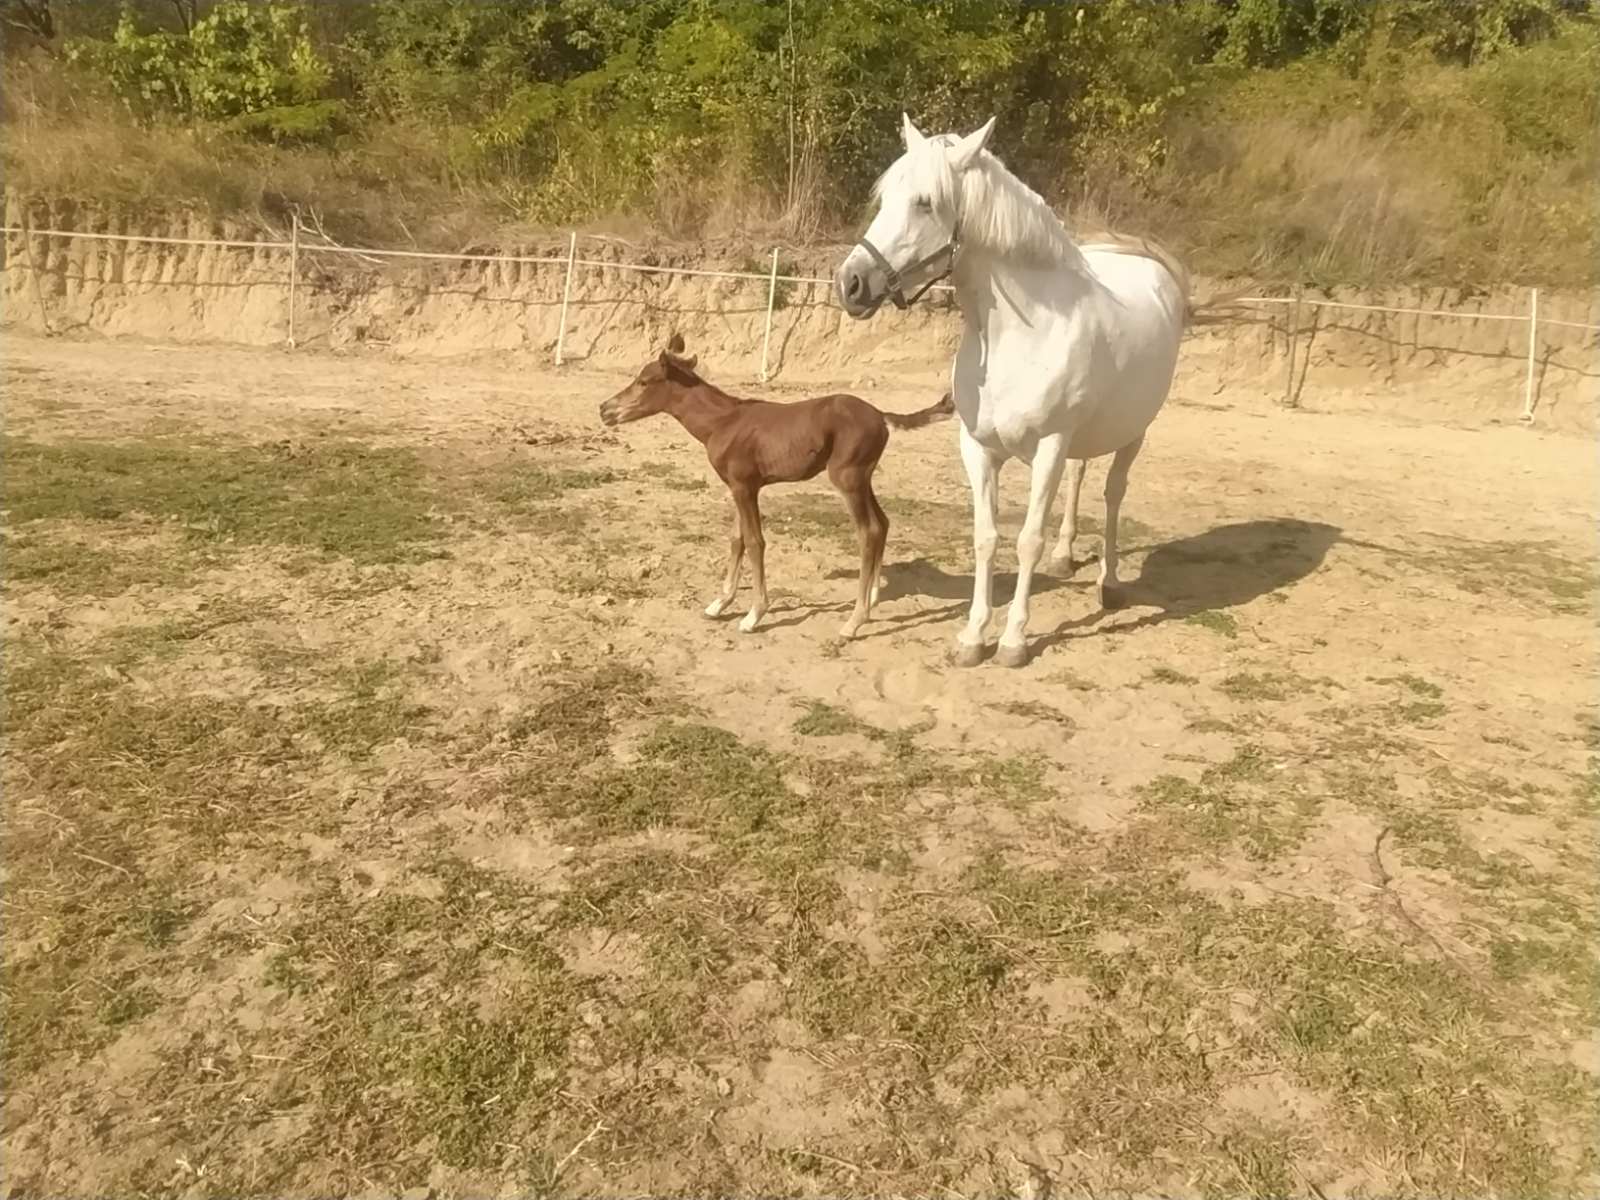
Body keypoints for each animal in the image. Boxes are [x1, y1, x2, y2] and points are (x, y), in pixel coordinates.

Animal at [601, 334, 947, 640]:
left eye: (643, 381)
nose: (604, 409)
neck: (722, 422)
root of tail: (881, 416)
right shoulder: (738, 487)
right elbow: (737, 539)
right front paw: (719, 604)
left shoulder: (745, 487)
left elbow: (755, 542)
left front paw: (753, 615)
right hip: (864, 478)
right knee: (883, 523)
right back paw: (873, 596)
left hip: (847, 479)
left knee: (869, 531)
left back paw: (853, 622)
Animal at [838, 113, 1190, 672]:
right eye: (885, 196)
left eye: (925, 202)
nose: (850, 283)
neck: (1019, 335)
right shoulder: (978, 448)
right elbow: (986, 538)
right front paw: (971, 637)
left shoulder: (1049, 446)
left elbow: (1026, 541)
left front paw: (1013, 641)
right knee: (1080, 478)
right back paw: (1067, 556)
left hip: (1134, 432)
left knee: (1113, 495)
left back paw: (1109, 582)